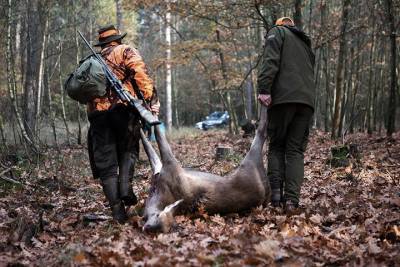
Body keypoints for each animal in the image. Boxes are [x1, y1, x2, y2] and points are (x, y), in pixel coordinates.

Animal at [139, 105, 270, 233]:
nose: (147, 226)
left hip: (250, 161)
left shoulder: (169, 166)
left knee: (261, 132)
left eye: (157, 217)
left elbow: (156, 141)